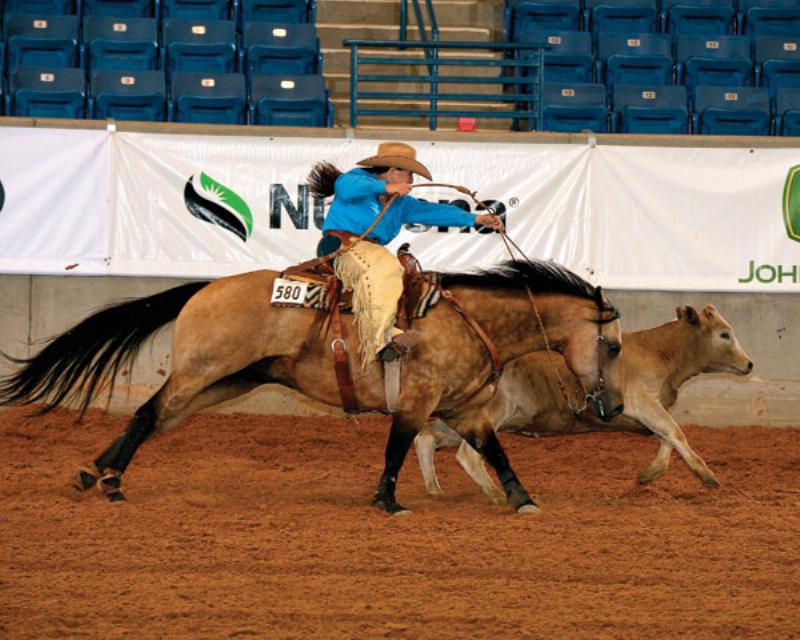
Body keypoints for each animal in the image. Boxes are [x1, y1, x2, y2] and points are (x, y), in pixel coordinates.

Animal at [0, 259, 625, 514]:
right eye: (614, 347)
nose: (615, 405)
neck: (470, 321)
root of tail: (207, 287)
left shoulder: (466, 411)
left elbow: (496, 452)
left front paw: (522, 499)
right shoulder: (418, 402)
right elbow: (397, 446)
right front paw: (387, 501)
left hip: (226, 381)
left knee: (157, 420)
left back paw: (96, 472)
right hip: (200, 372)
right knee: (146, 415)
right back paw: (110, 482)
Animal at [414, 304, 753, 507]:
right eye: (725, 334)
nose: (749, 364)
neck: (660, 352)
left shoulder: (651, 409)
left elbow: (666, 438)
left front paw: (649, 474)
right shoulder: (642, 402)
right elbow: (675, 432)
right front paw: (706, 475)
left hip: (460, 418)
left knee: (426, 438)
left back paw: (434, 490)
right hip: (492, 413)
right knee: (467, 455)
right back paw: (500, 496)